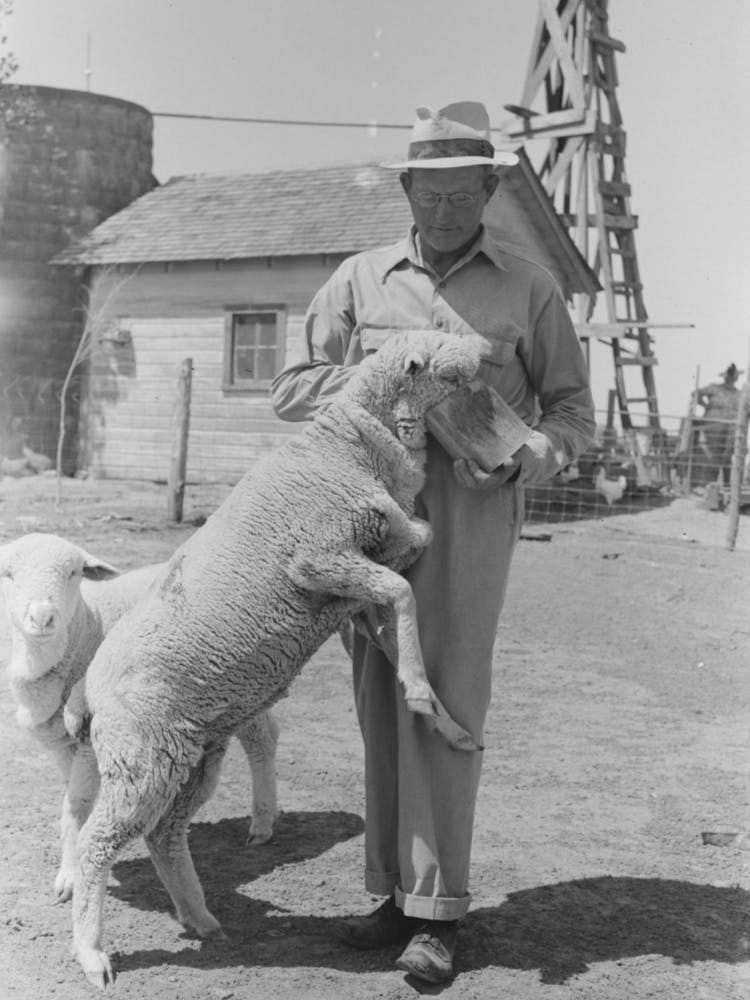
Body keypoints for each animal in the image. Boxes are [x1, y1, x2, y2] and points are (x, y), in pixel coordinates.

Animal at [0, 533, 280, 905]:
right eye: (8, 574)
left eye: (73, 572)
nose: (43, 618)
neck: (88, 628)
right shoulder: (61, 744)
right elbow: (71, 805)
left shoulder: (89, 739)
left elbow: (78, 804)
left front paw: (69, 879)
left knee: (262, 741)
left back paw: (261, 824)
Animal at [67, 329, 486, 988]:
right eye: (444, 352)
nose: (487, 347)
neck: (344, 448)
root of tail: (89, 688)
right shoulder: (319, 558)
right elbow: (404, 593)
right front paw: (423, 695)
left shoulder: (352, 590)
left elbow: (400, 607)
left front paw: (441, 719)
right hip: (141, 760)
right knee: (97, 844)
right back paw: (92, 954)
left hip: (194, 754)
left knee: (165, 835)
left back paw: (200, 919)